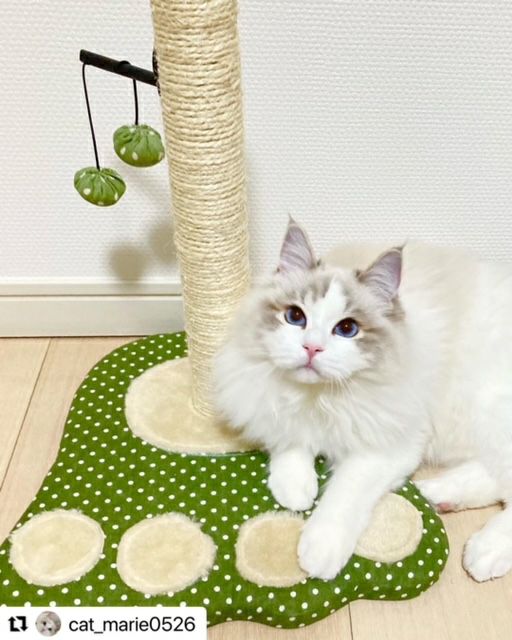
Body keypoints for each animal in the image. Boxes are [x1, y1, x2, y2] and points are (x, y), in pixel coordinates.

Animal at [213, 217, 512, 582]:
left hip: (488, 414)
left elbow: (343, 495)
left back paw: (484, 551)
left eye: (347, 329)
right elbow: (290, 445)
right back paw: (436, 495)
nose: (312, 348)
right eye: (295, 317)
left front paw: (319, 552)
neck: (320, 399)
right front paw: (296, 491)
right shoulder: (270, 406)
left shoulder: (388, 447)